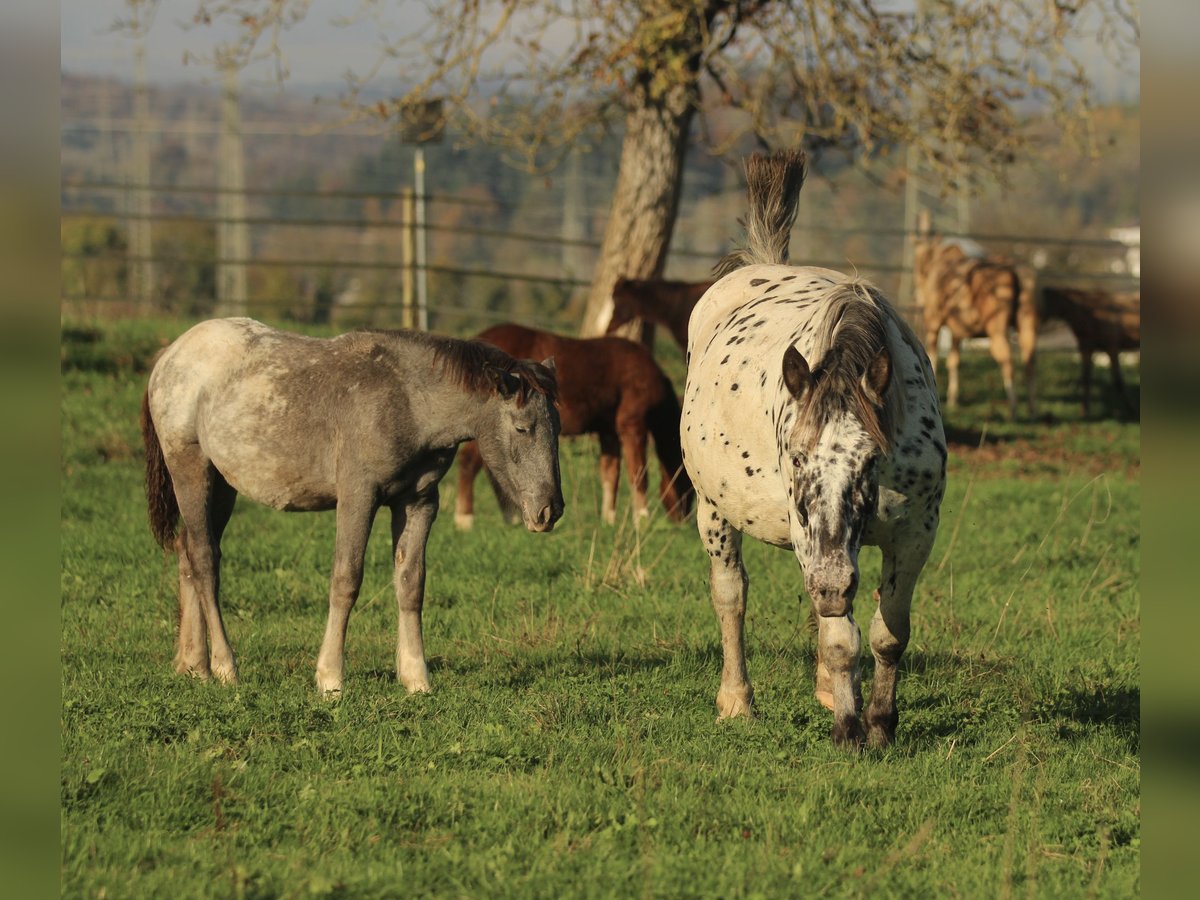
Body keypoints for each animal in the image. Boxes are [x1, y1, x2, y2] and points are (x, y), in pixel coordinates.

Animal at [453, 324, 696, 528]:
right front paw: (642, 520)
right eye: (687, 483)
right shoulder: (632, 426)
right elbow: (638, 474)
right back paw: (465, 519)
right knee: (468, 463)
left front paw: (608, 519)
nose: (682, 520)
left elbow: (610, 474)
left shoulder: (608, 432)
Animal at [912, 213, 1036, 422]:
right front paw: (952, 398)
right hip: (1027, 323)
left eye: (918, 258)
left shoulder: (933, 320)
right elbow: (954, 361)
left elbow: (933, 356)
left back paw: (1013, 409)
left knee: (1007, 359)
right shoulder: (956, 330)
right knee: (1030, 359)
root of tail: (1015, 273)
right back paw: (1030, 407)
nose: (918, 292)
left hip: (997, 327)